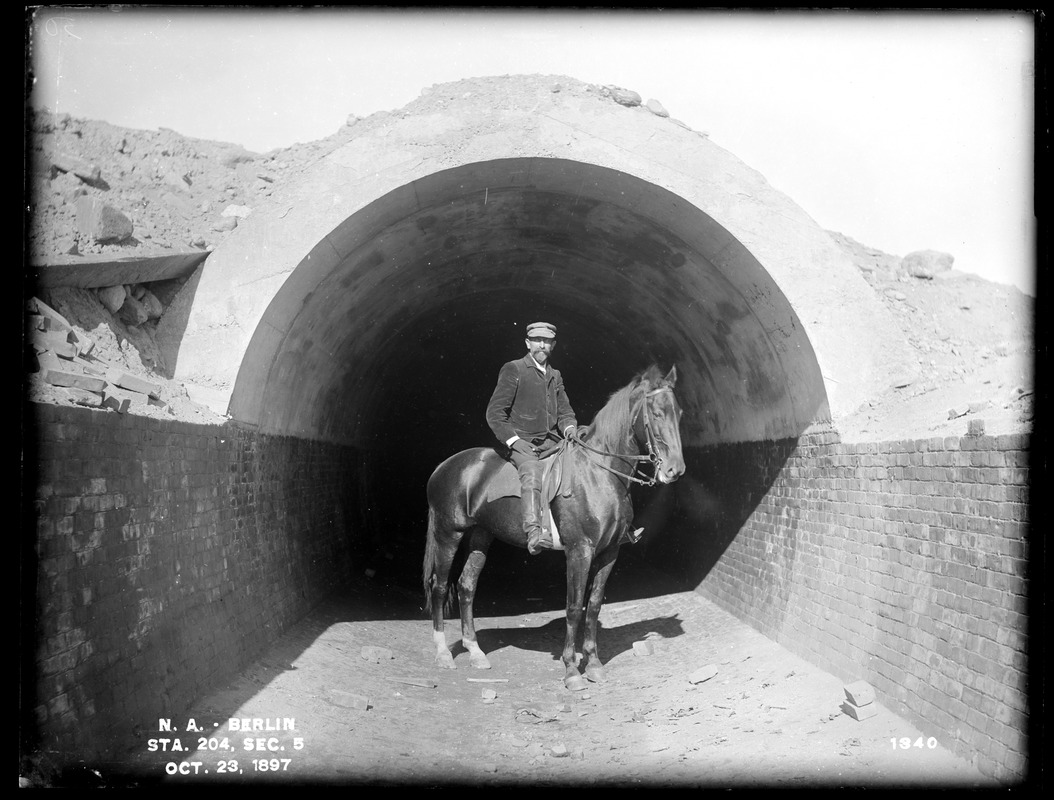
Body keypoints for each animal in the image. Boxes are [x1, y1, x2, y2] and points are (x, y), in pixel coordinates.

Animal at [423, 366, 687, 691]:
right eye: (657, 413)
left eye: (679, 413)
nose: (675, 470)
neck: (599, 473)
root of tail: (444, 467)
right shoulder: (579, 552)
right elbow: (573, 608)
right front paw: (572, 671)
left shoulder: (610, 553)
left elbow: (594, 605)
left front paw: (594, 665)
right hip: (449, 534)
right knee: (439, 586)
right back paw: (443, 653)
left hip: (480, 536)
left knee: (466, 586)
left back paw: (475, 651)